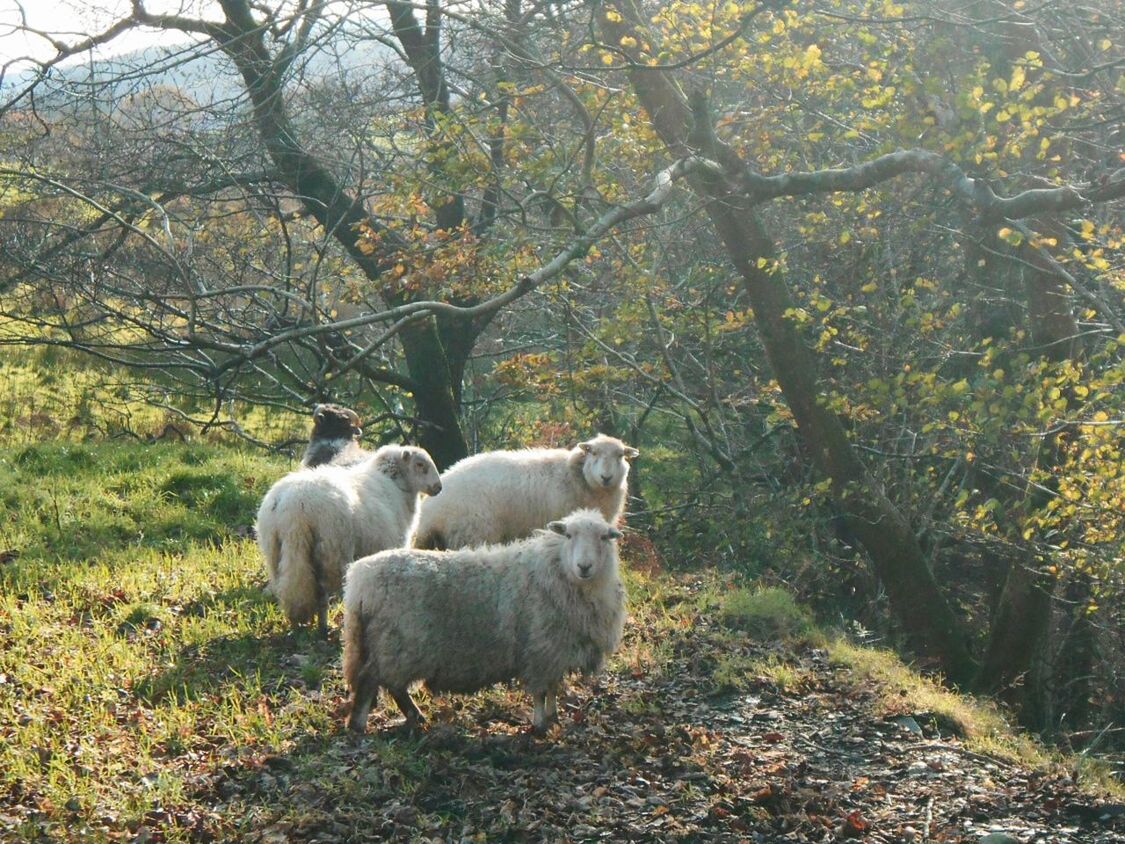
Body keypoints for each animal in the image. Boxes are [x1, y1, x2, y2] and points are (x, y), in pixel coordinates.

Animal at [257, 445, 441, 639]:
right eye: (420, 465)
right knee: (322, 595)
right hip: (331, 551)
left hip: (278, 549)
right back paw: (323, 628)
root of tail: (290, 507)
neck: (394, 482)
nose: (438, 487)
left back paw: (298, 626)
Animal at [342, 508, 625, 733]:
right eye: (568, 535)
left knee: (392, 685)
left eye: (603, 537)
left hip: (390, 645)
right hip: (396, 642)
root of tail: (360, 580)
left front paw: (553, 717)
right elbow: (540, 691)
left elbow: (553, 687)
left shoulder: (555, 650)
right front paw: (539, 725)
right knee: (373, 680)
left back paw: (414, 716)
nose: (584, 567)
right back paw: (360, 725)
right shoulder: (540, 649)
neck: (554, 570)